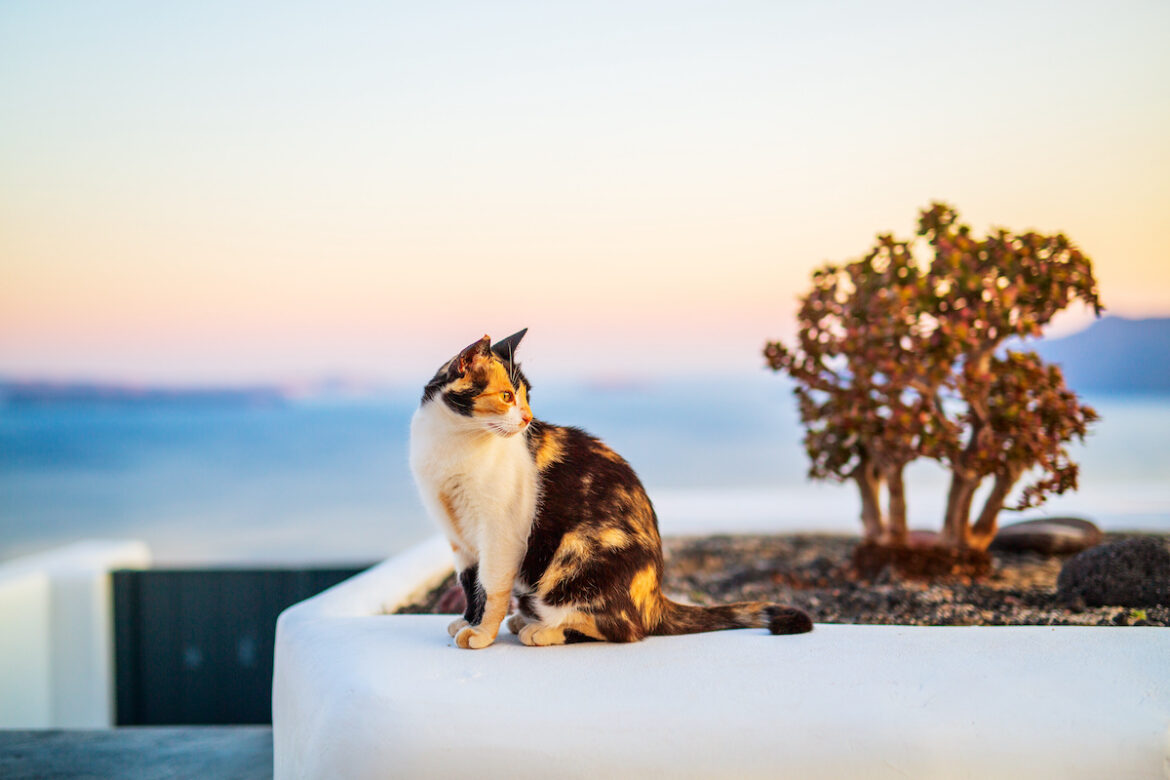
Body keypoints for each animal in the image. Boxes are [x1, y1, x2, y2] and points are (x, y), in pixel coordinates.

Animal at [407, 332, 809, 650]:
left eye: (527, 395)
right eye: (507, 396)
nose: (527, 418)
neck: (452, 446)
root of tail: (655, 598)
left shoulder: (500, 534)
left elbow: (491, 587)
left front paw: (482, 634)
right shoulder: (459, 538)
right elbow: (469, 584)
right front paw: (468, 620)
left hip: (576, 555)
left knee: (625, 629)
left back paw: (543, 629)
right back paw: (528, 618)